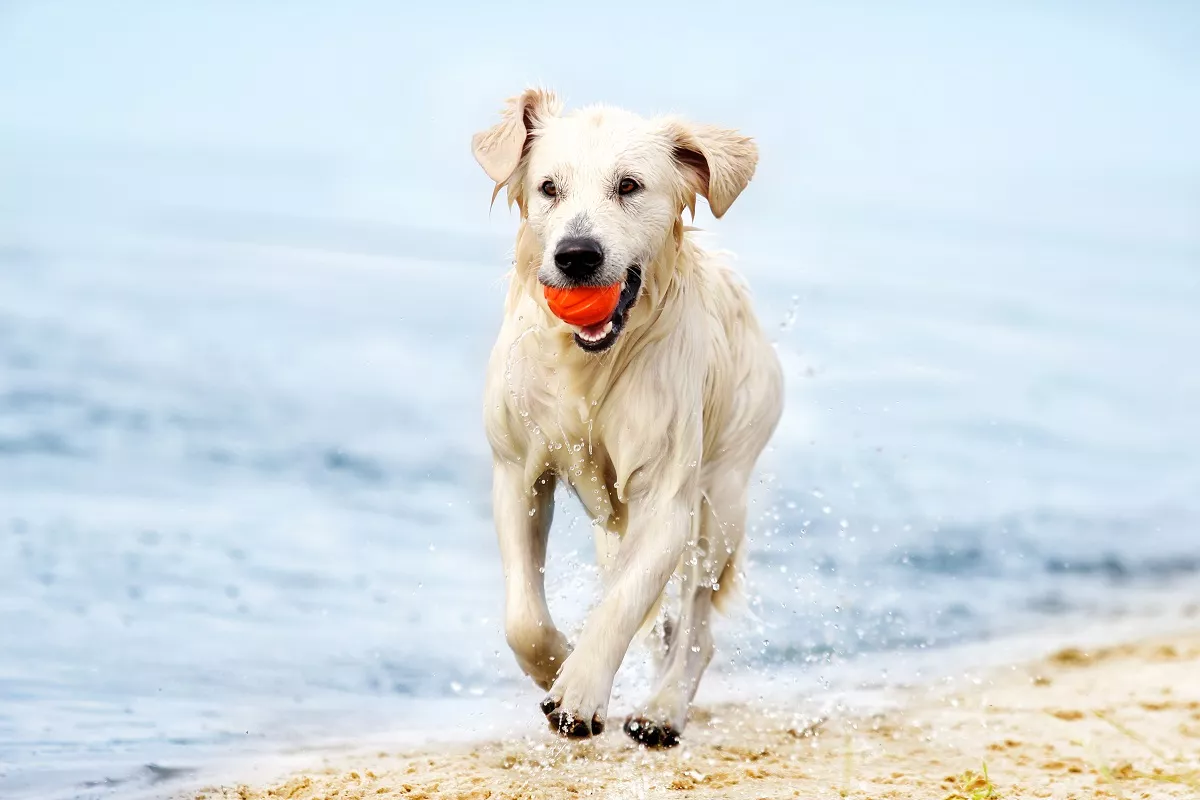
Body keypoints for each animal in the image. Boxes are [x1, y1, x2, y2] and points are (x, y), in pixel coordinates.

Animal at [468, 90, 787, 748]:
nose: (577, 255)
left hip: (724, 495)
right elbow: (522, 617)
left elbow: (622, 604)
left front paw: (579, 693)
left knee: (696, 627)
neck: (589, 364)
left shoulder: (668, 497)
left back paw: (661, 711)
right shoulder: (517, 470)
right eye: (548, 187)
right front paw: (557, 663)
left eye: (630, 185)